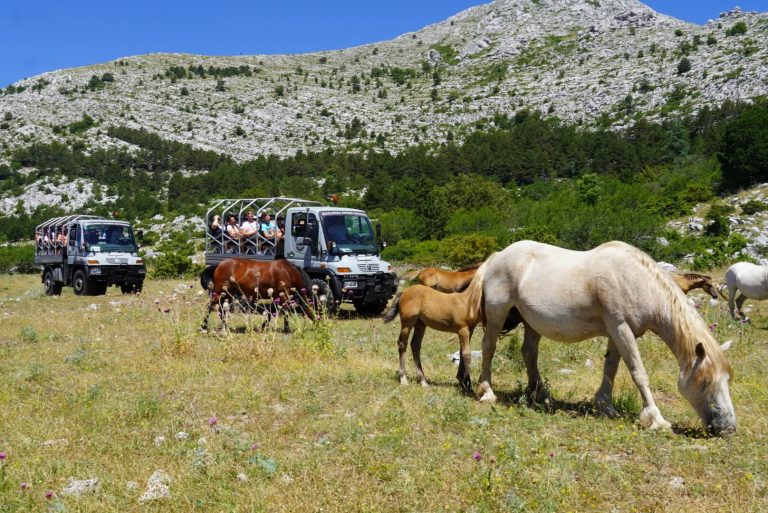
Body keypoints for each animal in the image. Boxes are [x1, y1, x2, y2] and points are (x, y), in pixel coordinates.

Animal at [466, 240, 736, 435]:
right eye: (705, 382)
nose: (728, 428)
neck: (635, 280)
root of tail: (497, 256)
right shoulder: (621, 328)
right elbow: (638, 373)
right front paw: (656, 419)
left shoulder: (618, 332)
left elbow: (611, 367)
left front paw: (605, 406)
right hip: (497, 313)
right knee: (488, 347)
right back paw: (487, 392)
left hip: (531, 321)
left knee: (529, 352)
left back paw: (542, 396)